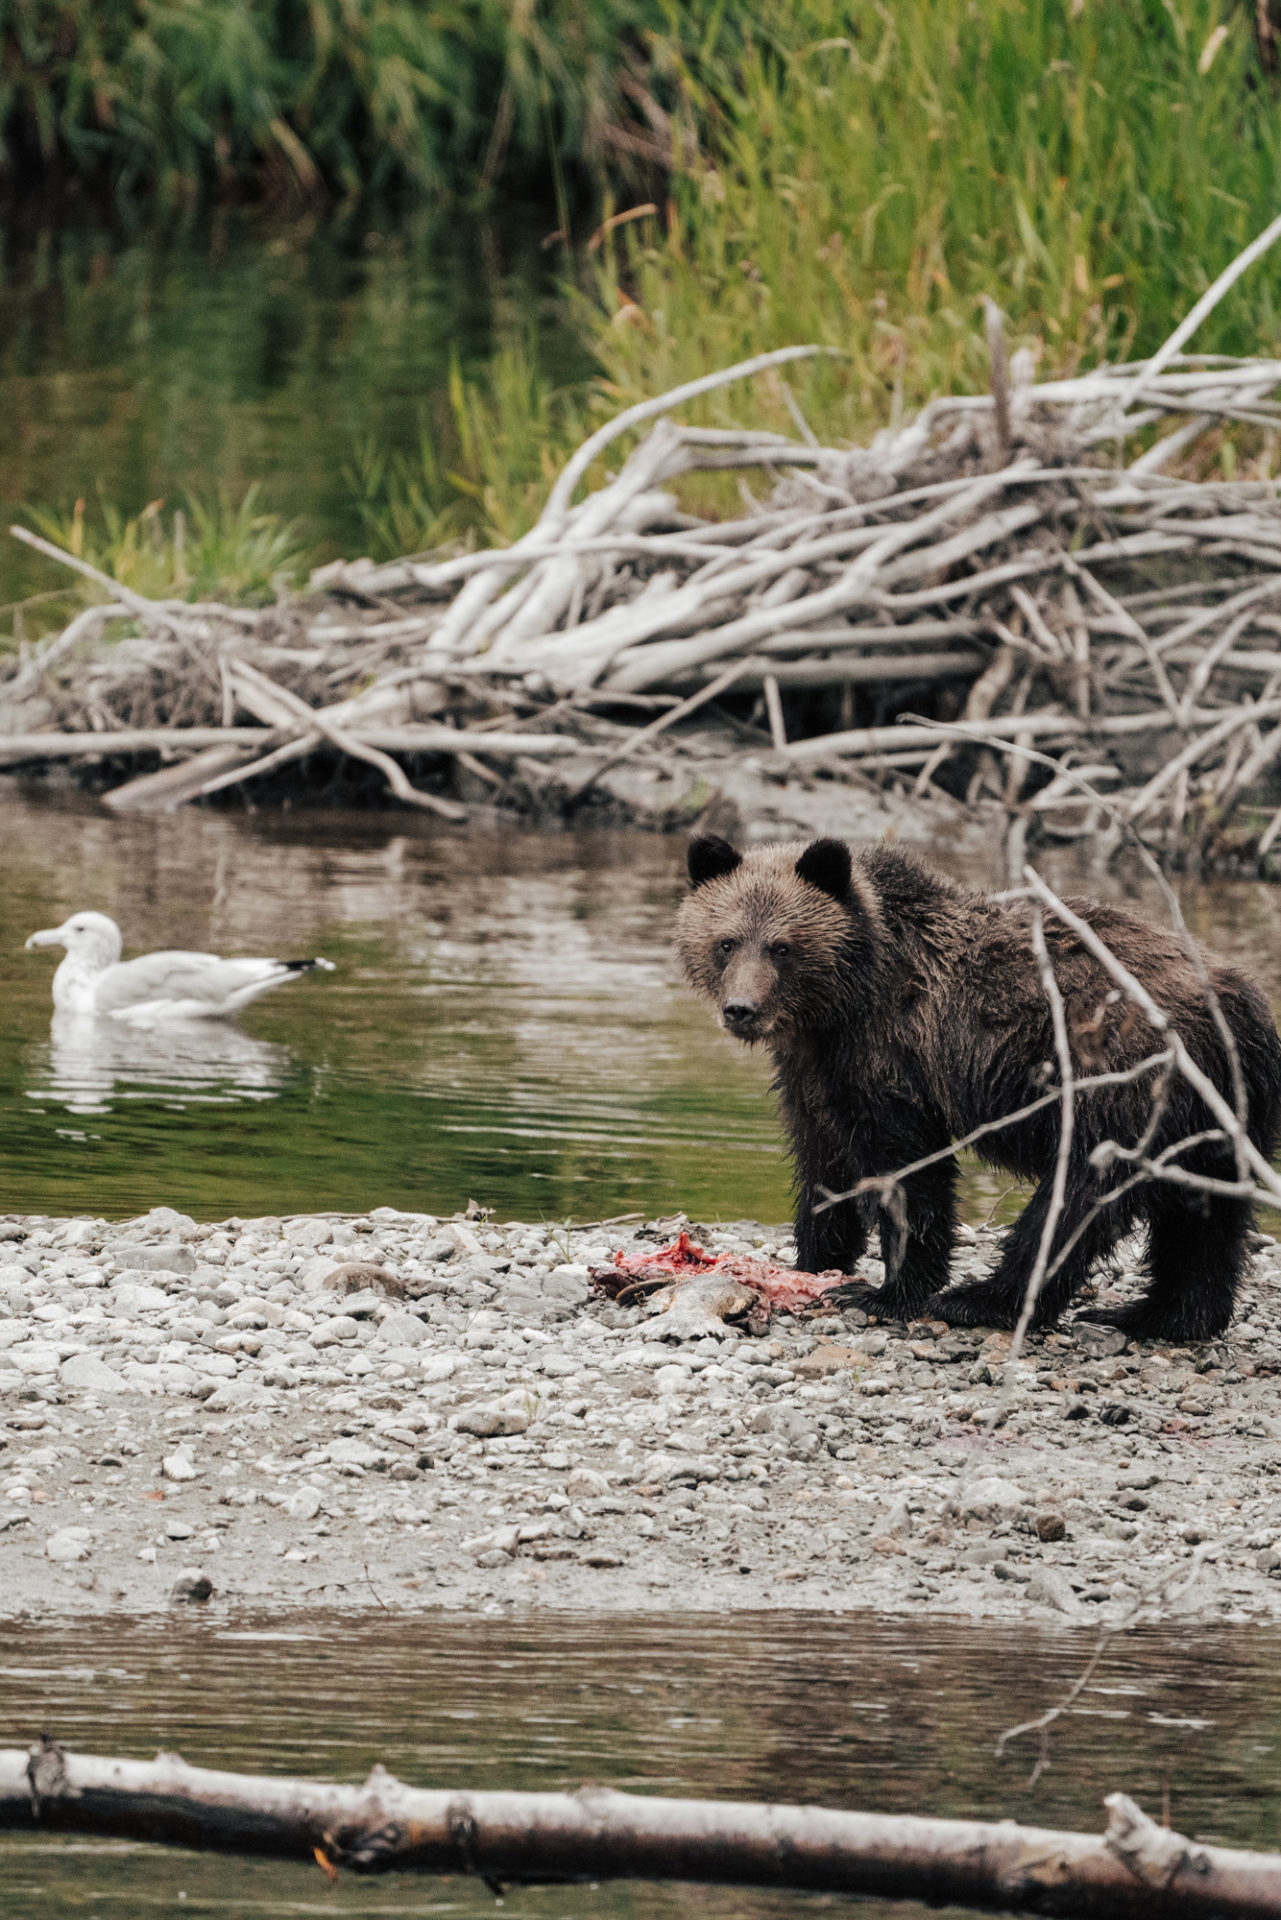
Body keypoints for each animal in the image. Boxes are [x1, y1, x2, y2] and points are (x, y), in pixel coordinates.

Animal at [676, 833, 1281, 1344]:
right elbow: (822, 1161)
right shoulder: (816, 1072)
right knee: (1205, 1213)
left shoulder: (894, 1055)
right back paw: (1160, 1315)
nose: (742, 1009)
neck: (841, 1004)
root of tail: (1240, 1006)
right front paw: (812, 1263)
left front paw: (884, 1292)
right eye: (727, 942)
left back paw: (985, 1300)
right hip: (1215, 1109)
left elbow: (906, 1169)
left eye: (782, 947)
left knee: (1078, 1196)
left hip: (1118, 1085)